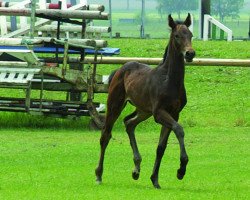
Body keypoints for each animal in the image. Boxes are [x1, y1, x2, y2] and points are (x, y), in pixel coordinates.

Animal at [95, 13, 195, 188]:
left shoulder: (173, 113)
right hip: (115, 104)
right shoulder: (159, 113)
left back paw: (136, 169)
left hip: (143, 110)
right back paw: (99, 175)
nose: (190, 53)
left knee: (129, 123)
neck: (169, 80)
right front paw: (181, 170)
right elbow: (179, 129)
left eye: (190, 34)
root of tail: (119, 69)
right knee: (105, 135)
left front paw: (155, 179)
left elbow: (161, 146)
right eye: (177, 35)